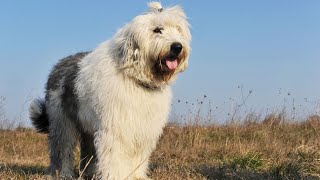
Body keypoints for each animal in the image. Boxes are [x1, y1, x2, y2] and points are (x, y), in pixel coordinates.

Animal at [28, 2, 190, 179]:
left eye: (178, 29)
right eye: (157, 30)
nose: (177, 47)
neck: (135, 77)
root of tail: (58, 65)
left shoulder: (142, 129)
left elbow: (137, 156)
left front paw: (136, 175)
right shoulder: (116, 128)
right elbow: (114, 156)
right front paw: (116, 175)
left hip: (88, 126)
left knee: (87, 151)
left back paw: (89, 172)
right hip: (62, 121)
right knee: (62, 148)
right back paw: (61, 173)